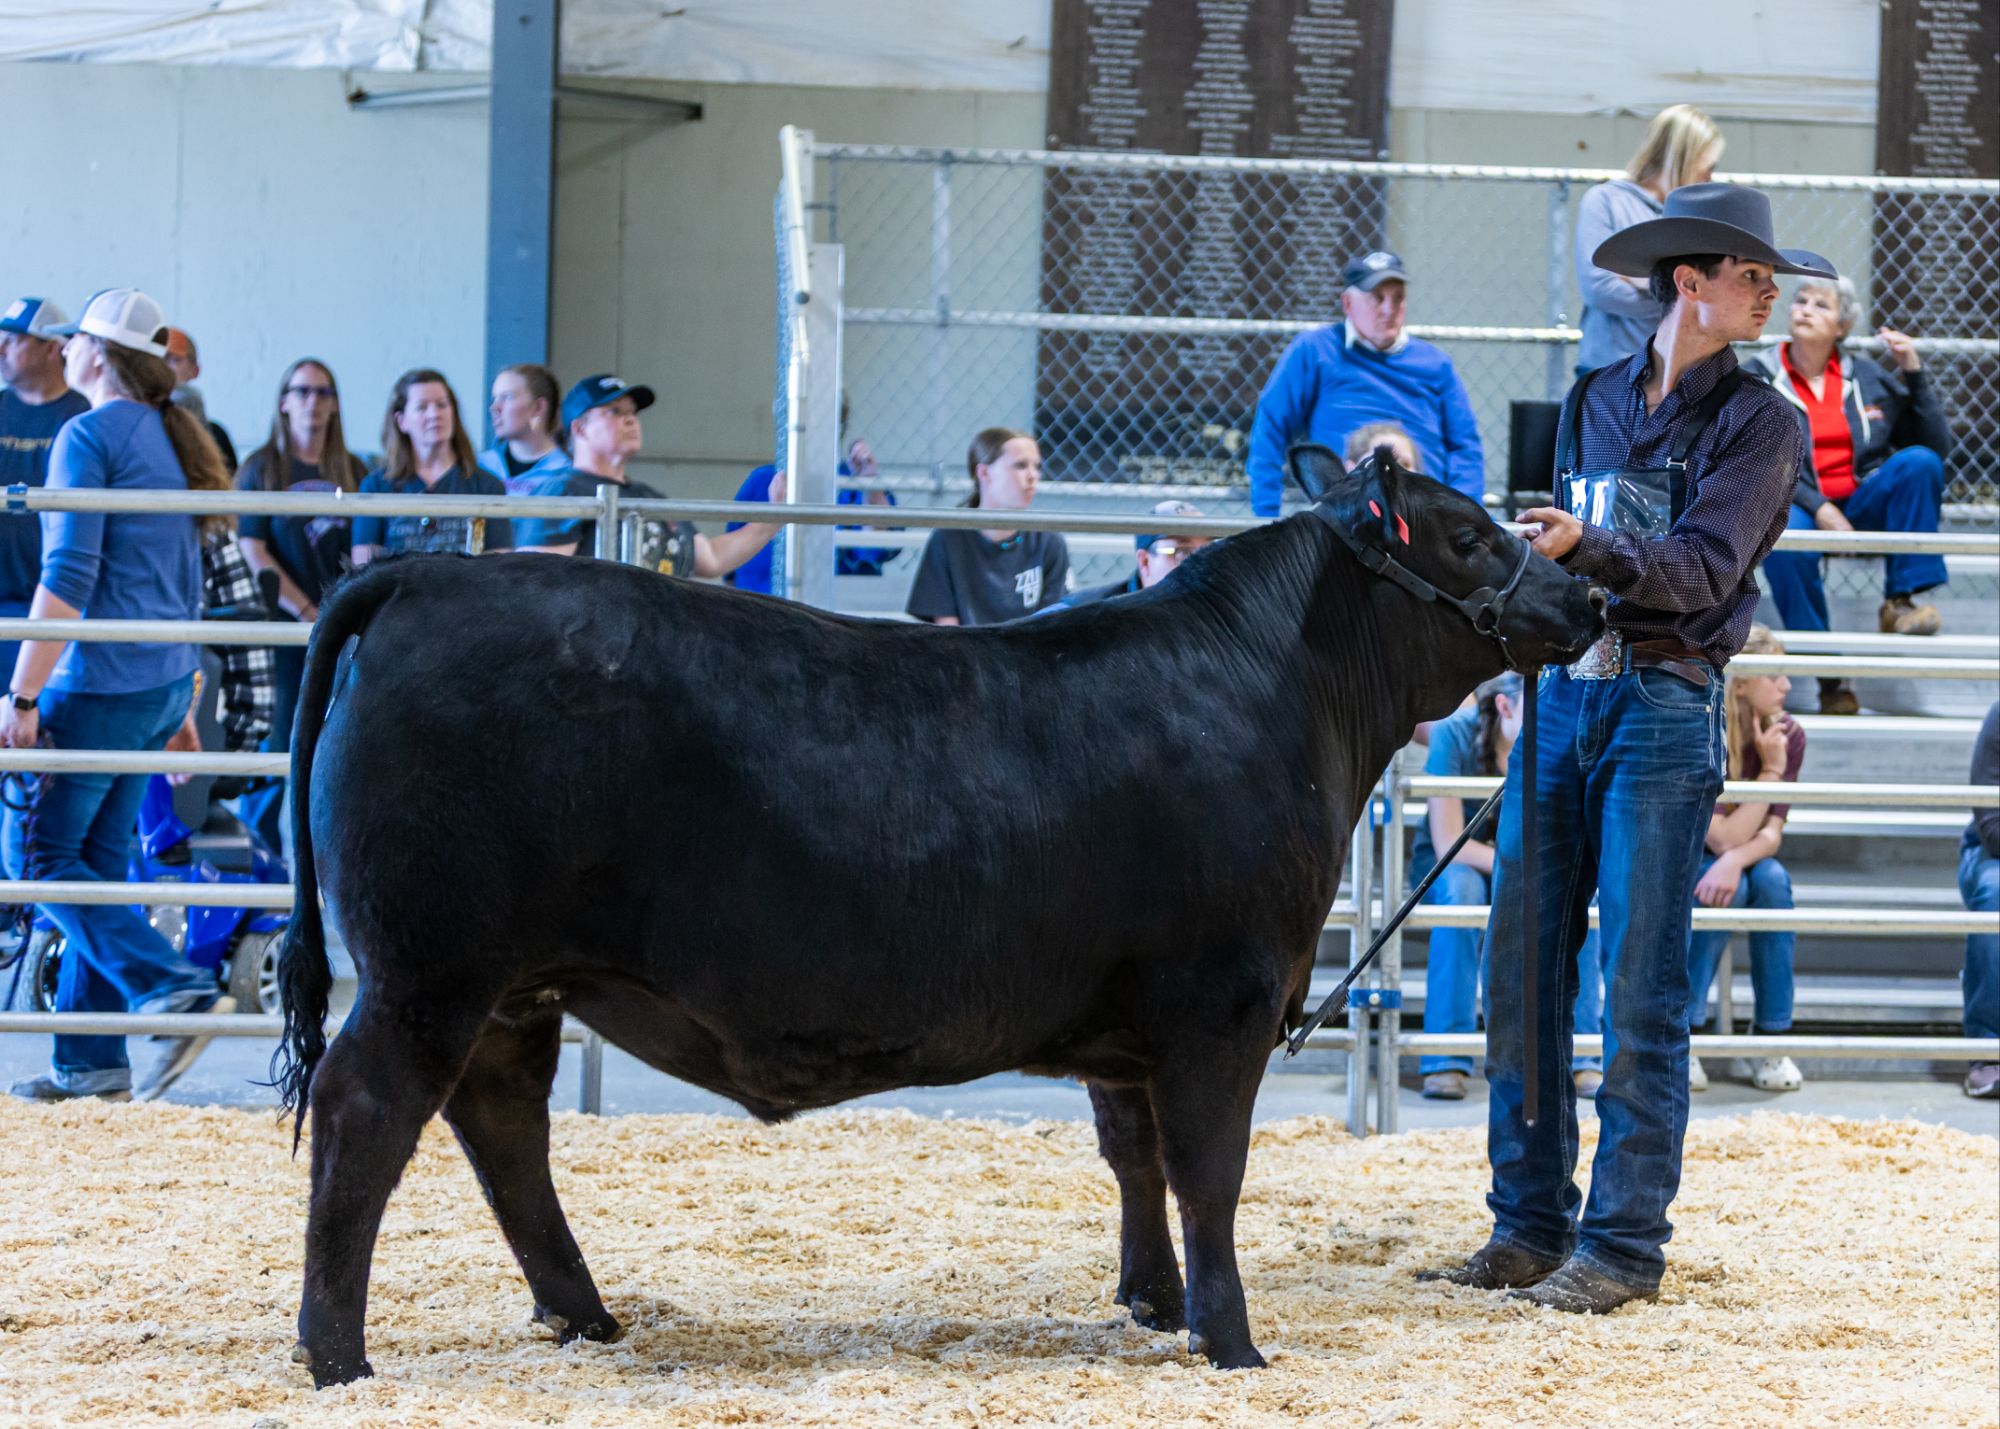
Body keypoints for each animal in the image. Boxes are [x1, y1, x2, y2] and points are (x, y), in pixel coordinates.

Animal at [274, 446, 1603, 1386]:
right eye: (1469, 534)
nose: (1584, 593)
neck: (1280, 693)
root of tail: (431, 571)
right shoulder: (1217, 1002)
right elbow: (1207, 1171)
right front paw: (1228, 1340)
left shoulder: (1127, 1023)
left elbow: (1133, 1156)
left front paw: (1151, 1302)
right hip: (431, 965)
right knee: (366, 1113)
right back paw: (336, 1353)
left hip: (510, 986)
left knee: (502, 1129)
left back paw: (582, 1314)